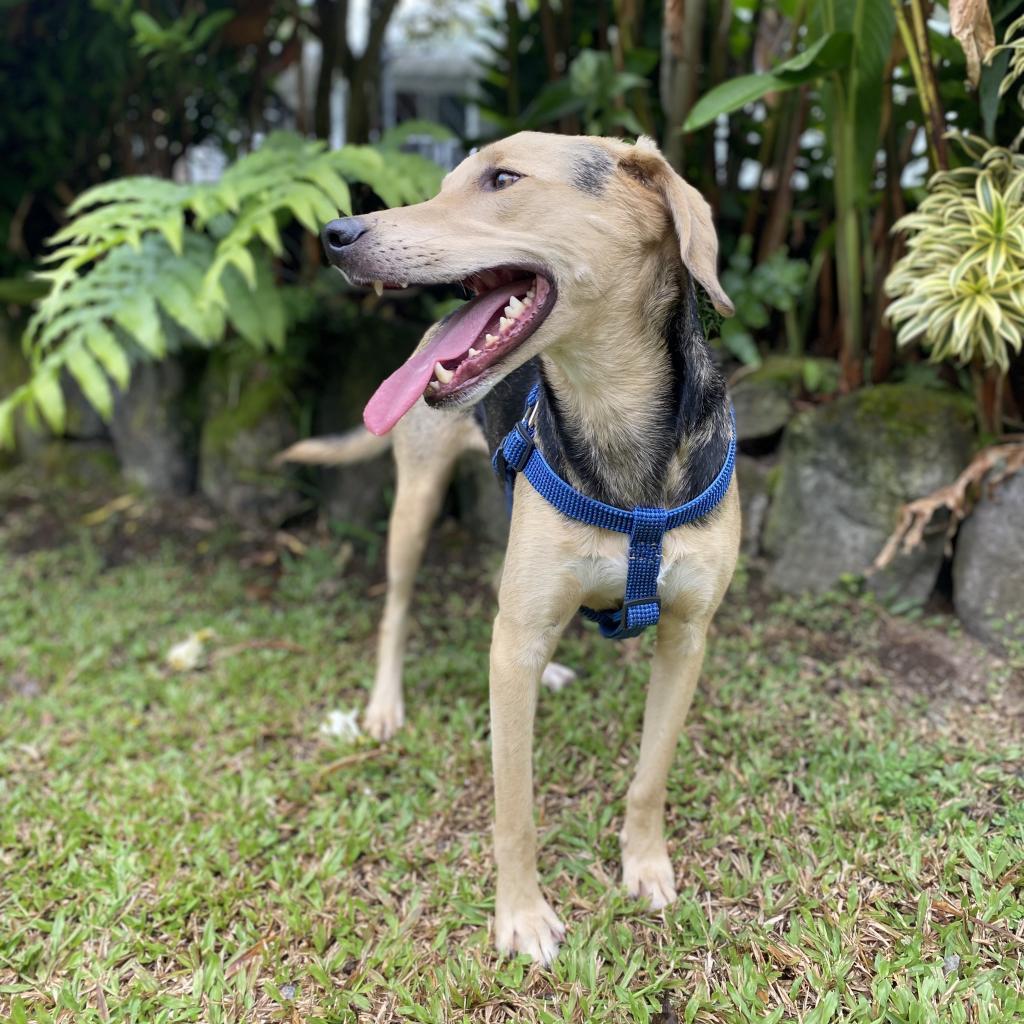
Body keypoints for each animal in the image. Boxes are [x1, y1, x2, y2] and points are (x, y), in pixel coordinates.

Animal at [282, 132, 745, 962]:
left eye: (502, 179)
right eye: (443, 184)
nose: (336, 234)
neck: (615, 423)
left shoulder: (688, 635)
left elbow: (650, 776)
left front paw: (645, 866)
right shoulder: (515, 645)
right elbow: (515, 810)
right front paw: (522, 915)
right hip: (415, 504)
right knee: (396, 608)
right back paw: (385, 708)